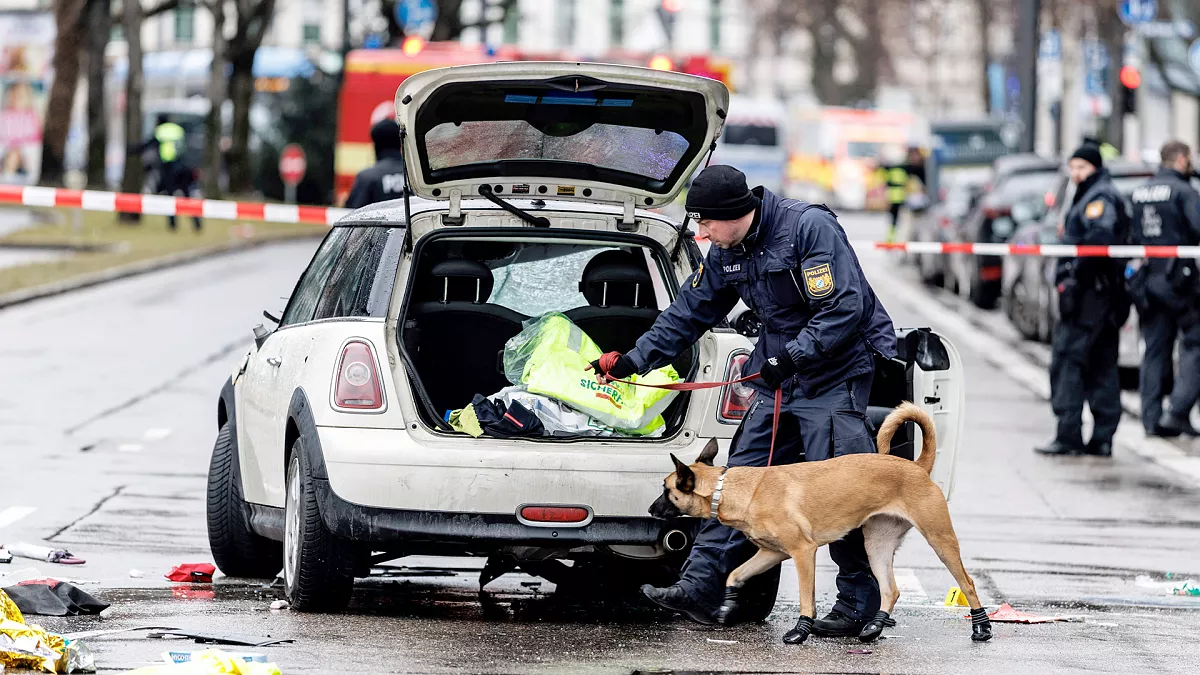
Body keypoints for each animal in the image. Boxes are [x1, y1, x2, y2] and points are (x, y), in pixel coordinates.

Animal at [652, 398, 988, 638]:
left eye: (666, 490)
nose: (652, 510)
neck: (733, 489)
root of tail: (917, 466)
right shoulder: (772, 553)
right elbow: (735, 574)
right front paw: (728, 604)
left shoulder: (803, 552)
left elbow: (806, 597)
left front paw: (801, 630)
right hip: (876, 546)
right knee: (891, 589)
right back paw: (874, 626)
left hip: (940, 541)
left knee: (969, 583)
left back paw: (981, 627)